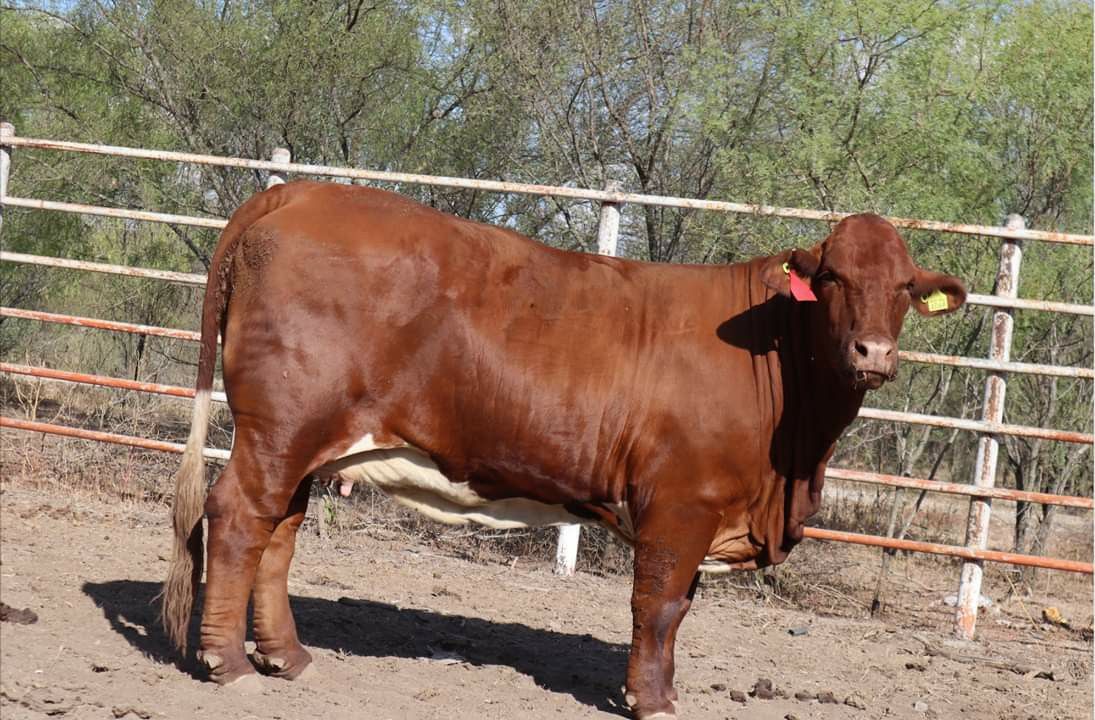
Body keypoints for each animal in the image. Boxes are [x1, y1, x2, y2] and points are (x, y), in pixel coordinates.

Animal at [162, 180, 966, 718]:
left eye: (903, 286)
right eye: (831, 278)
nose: (873, 353)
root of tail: (299, 192)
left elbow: (678, 608)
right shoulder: (681, 504)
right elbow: (660, 605)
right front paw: (651, 701)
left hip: (303, 439)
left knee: (279, 532)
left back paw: (287, 658)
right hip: (279, 428)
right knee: (237, 519)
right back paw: (228, 663)